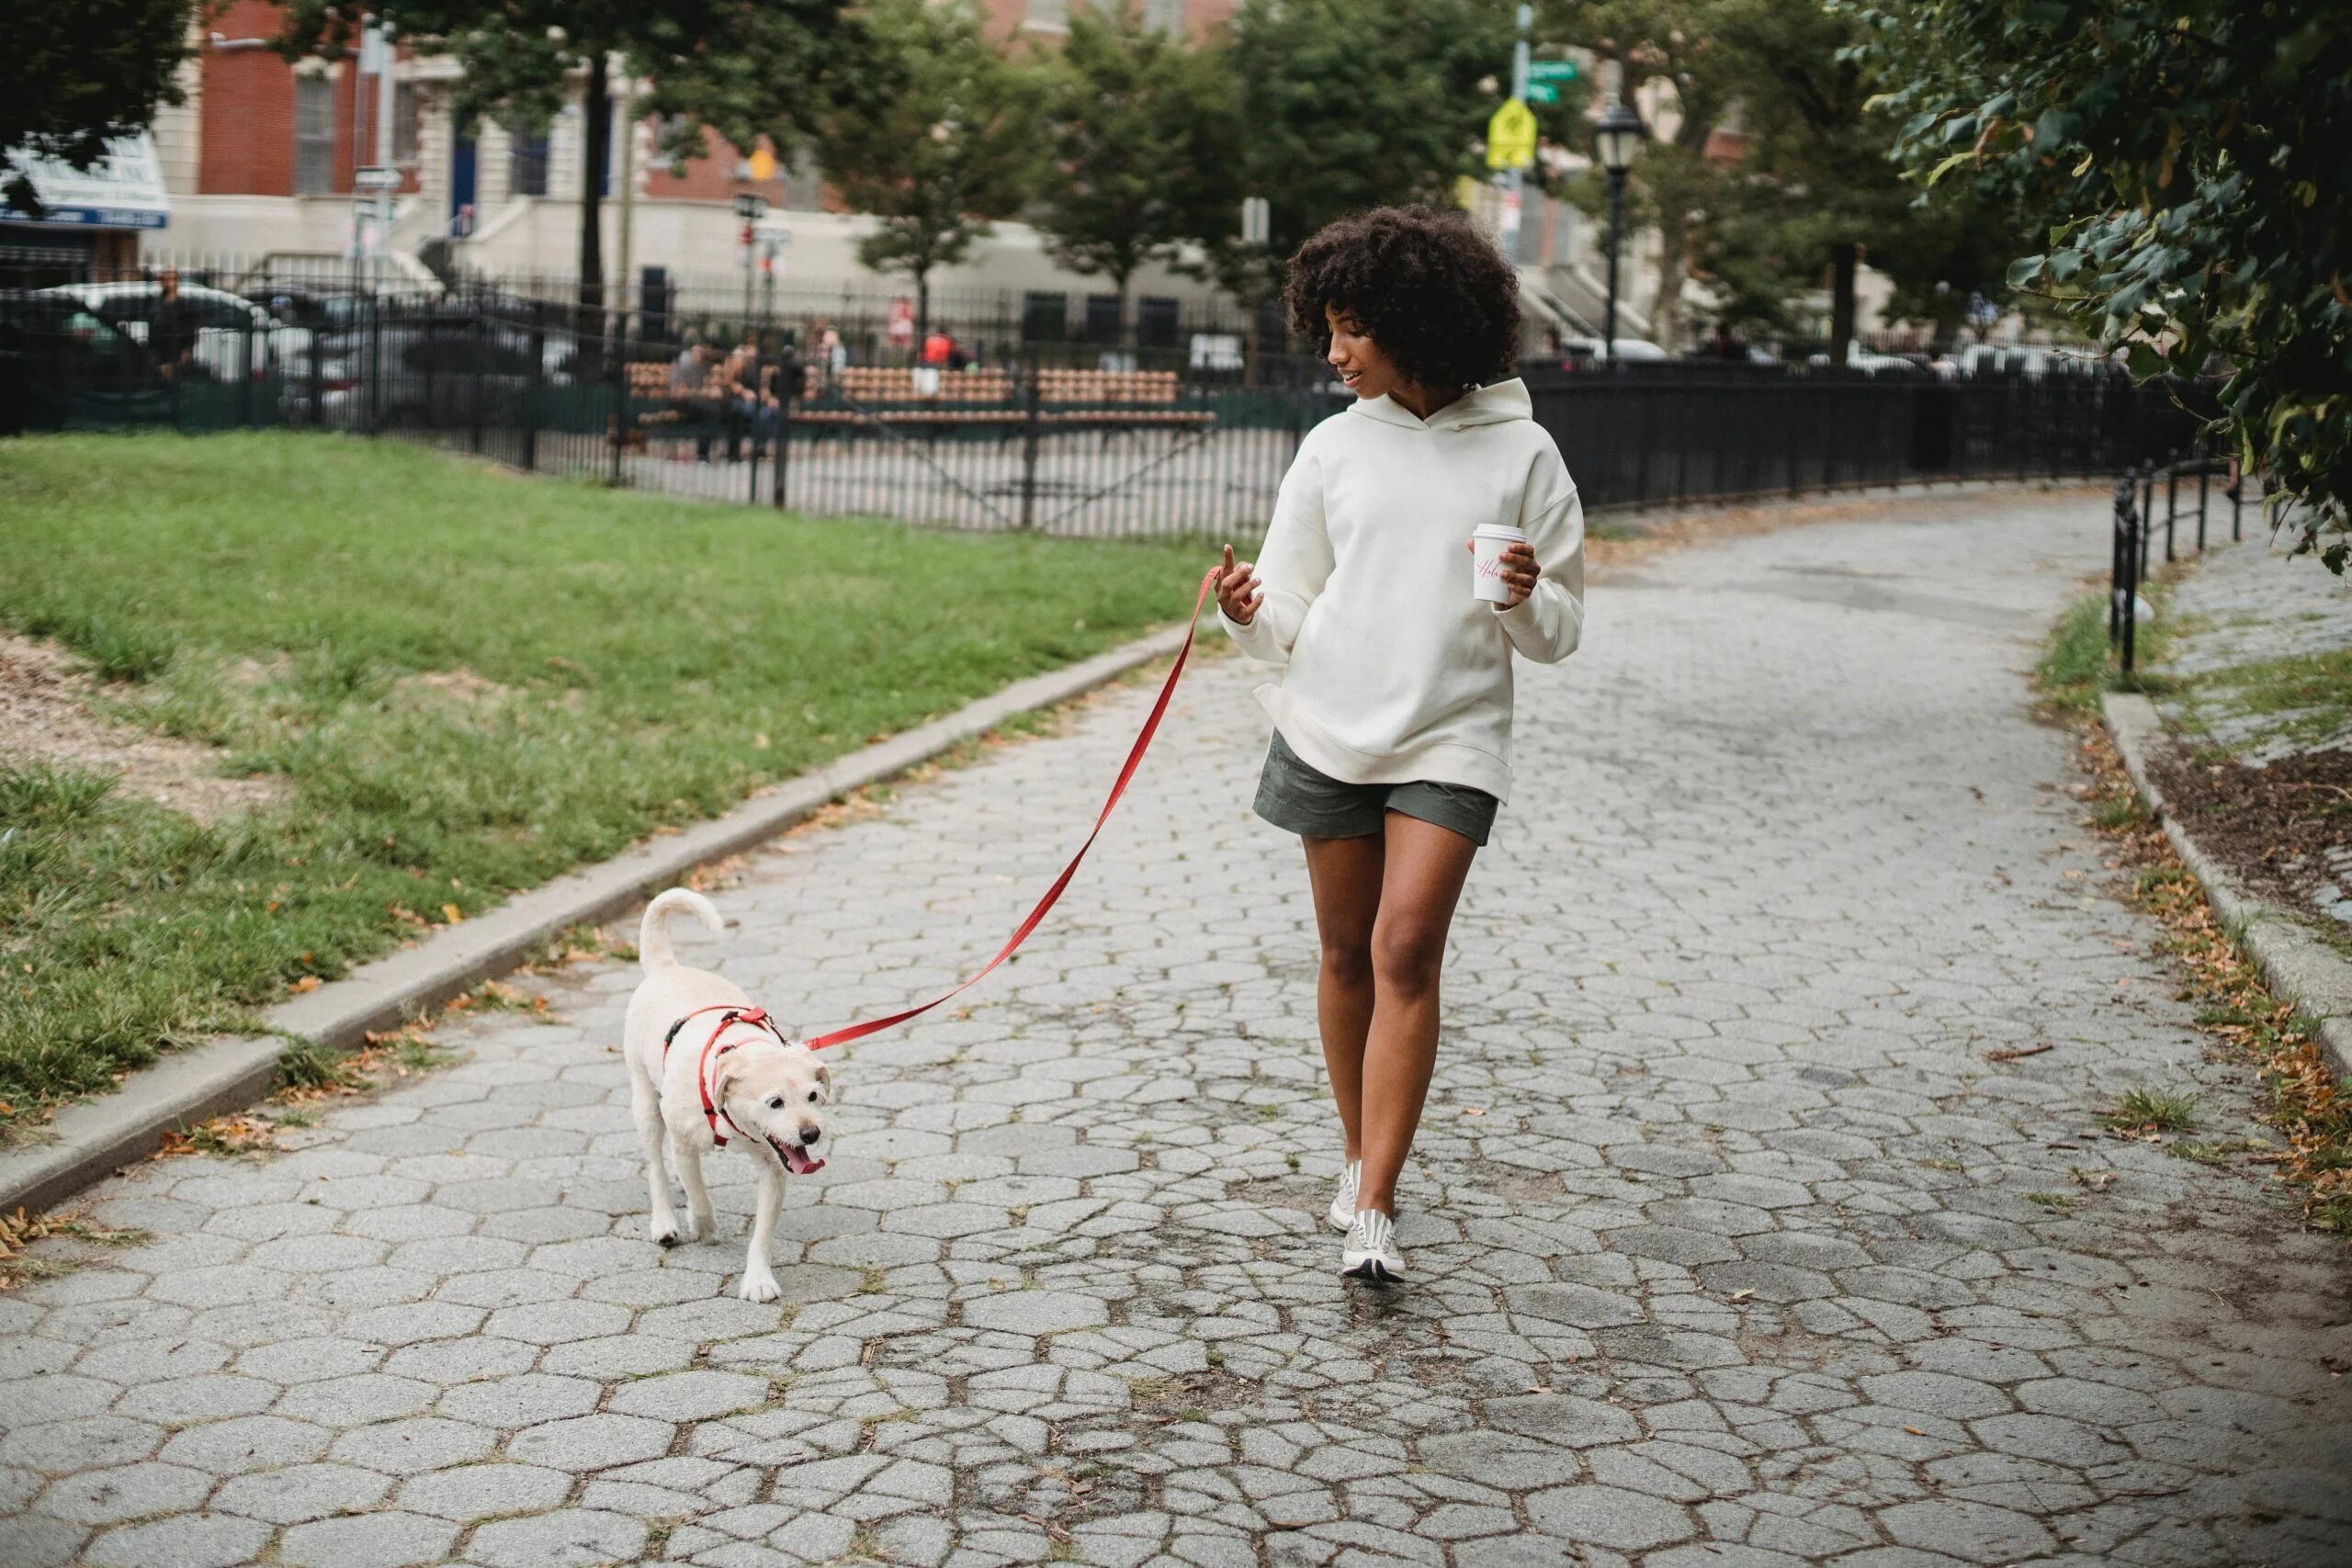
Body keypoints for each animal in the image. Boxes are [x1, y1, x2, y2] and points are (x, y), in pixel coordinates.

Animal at [625, 888, 837, 1306]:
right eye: (775, 1102)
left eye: (813, 1096)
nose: (810, 1135)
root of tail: (667, 968)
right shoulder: (684, 1143)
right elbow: (696, 1189)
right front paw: (703, 1224)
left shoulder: (775, 1167)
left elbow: (763, 1233)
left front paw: (758, 1280)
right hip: (644, 1102)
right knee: (656, 1166)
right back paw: (665, 1222)